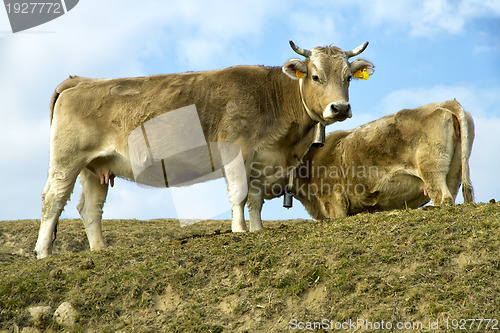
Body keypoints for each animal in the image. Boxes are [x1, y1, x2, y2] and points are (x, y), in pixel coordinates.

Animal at [35, 39, 374, 256]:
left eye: (348, 77)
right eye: (315, 76)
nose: (340, 108)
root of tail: (82, 80)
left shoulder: (260, 161)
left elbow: (255, 200)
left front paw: (257, 230)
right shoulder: (236, 150)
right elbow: (238, 194)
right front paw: (238, 231)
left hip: (96, 166)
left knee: (90, 208)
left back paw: (100, 250)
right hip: (67, 160)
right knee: (53, 200)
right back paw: (43, 252)